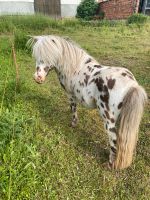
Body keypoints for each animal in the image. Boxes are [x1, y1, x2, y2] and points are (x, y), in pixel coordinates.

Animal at [27, 35, 147, 170]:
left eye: (50, 56)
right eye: (36, 56)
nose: (38, 78)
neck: (74, 67)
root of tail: (132, 85)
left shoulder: (71, 96)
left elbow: (73, 109)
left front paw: (73, 124)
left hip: (108, 120)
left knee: (114, 141)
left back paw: (110, 164)